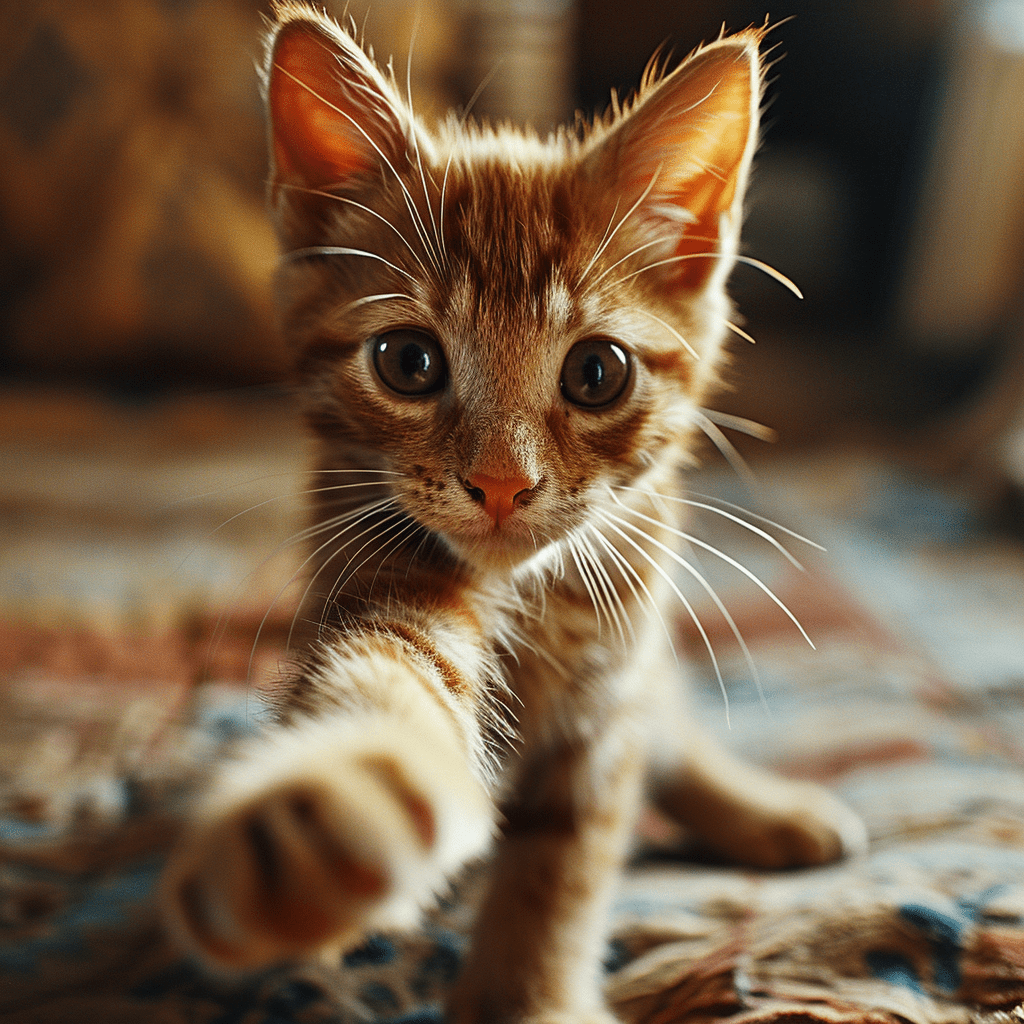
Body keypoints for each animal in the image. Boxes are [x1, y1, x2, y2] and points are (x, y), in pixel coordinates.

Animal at [159, 6, 864, 1015]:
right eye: (408, 362)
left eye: (597, 372)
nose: (500, 484)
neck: (531, 601)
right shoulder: (376, 567)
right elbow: (390, 682)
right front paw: (324, 817)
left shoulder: (608, 692)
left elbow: (564, 861)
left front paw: (531, 995)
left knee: (670, 725)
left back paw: (768, 812)